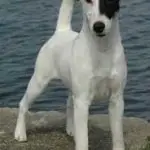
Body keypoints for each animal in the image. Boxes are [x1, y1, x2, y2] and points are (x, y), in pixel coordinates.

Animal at [14, 0, 126, 150]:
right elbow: (83, 139)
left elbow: (118, 136)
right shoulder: (82, 101)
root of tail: (61, 31)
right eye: (89, 1)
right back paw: (20, 133)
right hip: (38, 83)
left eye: (109, 2)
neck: (102, 50)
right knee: (23, 104)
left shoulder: (116, 99)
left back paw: (71, 129)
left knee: (68, 103)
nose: (98, 26)